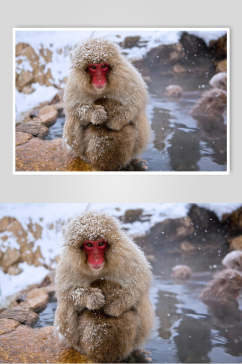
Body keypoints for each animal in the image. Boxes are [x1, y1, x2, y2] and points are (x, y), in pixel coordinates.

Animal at [54, 212, 153, 362]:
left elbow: (139, 284)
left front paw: (115, 304)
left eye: (101, 243)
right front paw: (92, 297)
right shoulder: (68, 264)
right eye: (89, 244)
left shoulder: (128, 255)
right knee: (67, 305)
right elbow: (67, 292)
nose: (96, 258)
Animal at [62, 37, 149, 171]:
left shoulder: (127, 76)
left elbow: (136, 102)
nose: (99, 79)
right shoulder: (74, 83)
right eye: (93, 67)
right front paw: (96, 113)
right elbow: (74, 108)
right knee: (74, 119)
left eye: (103, 66)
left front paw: (115, 119)